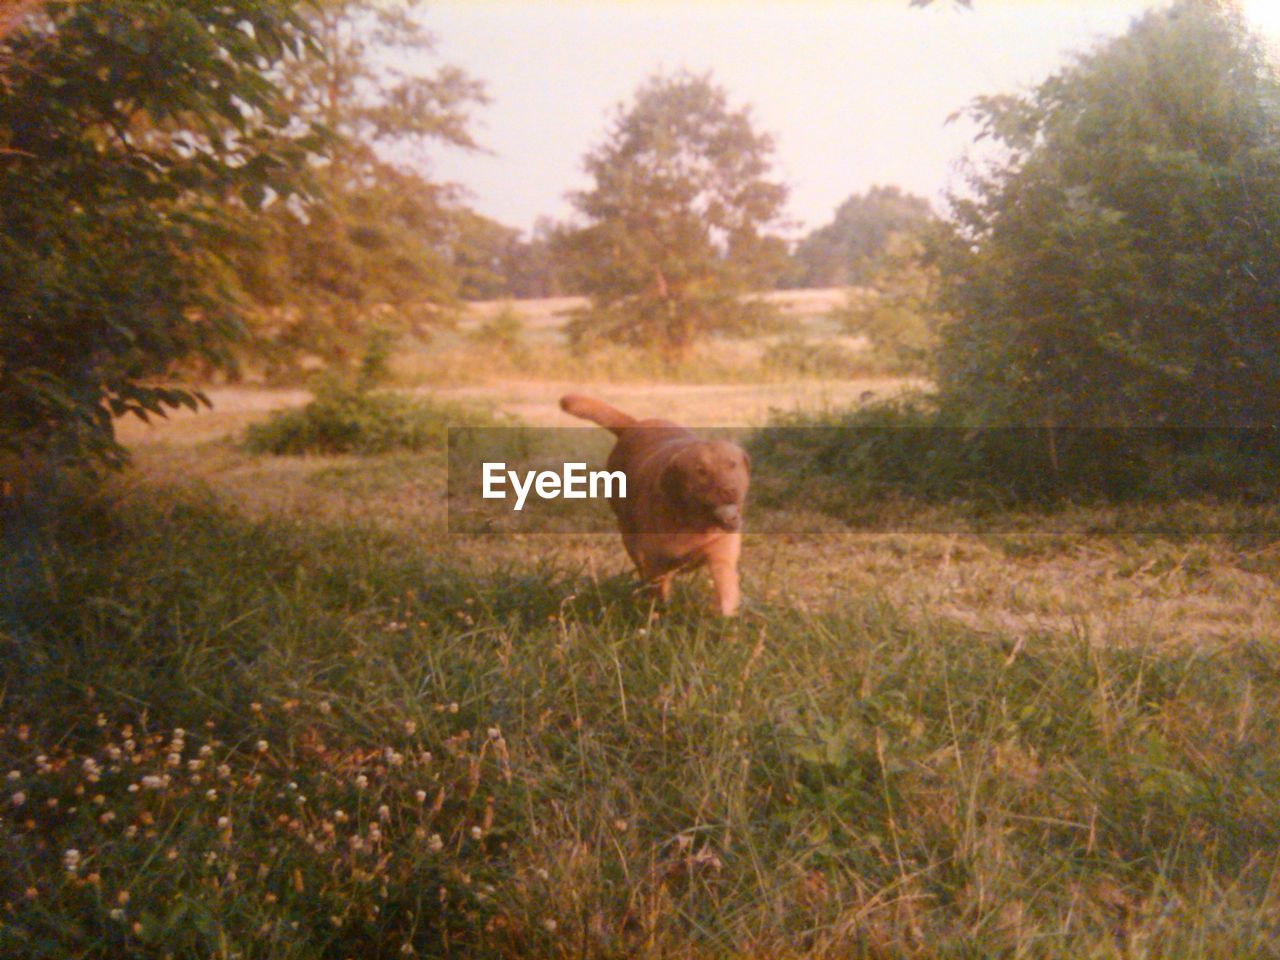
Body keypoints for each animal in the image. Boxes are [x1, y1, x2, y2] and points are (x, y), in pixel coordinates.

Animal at [563, 394, 747, 619]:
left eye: (732, 464)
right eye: (701, 471)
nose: (730, 490)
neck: (691, 523)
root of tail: (633, 425)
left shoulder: (722, 557)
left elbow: (725, 592)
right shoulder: (655, 564)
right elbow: (658, 593)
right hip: (628, 534)